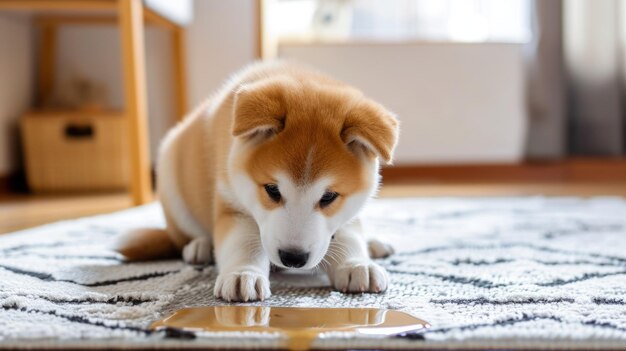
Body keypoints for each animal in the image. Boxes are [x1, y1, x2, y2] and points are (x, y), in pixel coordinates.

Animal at [114, 61, 398, 302]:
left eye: (328, 196)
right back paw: (199, 247)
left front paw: (357, 265)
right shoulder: (234, 206)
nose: (292, 258)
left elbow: (349, 236)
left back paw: (375, 244)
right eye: (272, 190)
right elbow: (244, 244)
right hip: (172, 178)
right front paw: (243, 274)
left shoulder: (349, 212)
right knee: (183, 236)